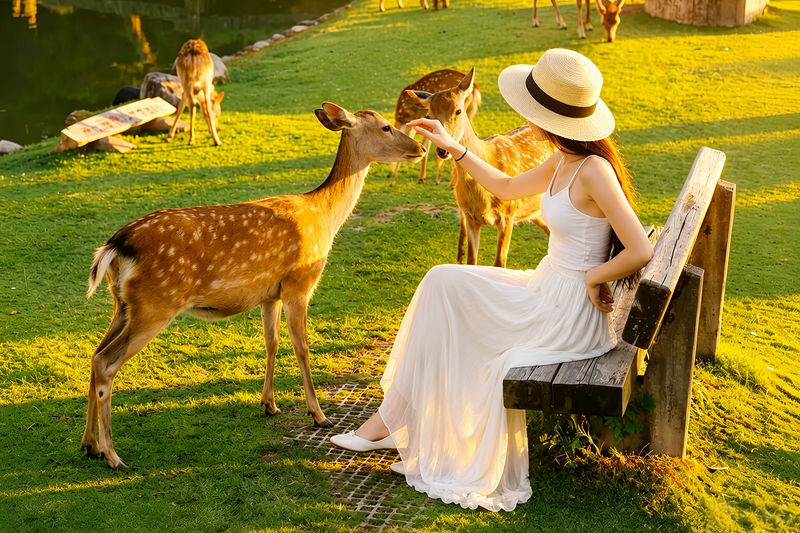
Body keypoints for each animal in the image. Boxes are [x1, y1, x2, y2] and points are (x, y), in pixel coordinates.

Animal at [81, 103, 424, 470]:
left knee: (95, 355)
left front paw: (269, 404)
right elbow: (302, 347)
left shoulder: (269, 295)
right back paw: (113, 455)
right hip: (154, 305)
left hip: (122, 304)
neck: (324, 217)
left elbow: (271, 343)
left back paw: (89, 445)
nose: (420, 148)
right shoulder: (299, 284)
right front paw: (318, 414)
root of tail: (115, 245)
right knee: (106, 363)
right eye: (386, 127)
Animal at [407, 69, 552, 267]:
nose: (443, 150)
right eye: (429, 116)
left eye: (458, 110)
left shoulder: (508, 213)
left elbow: (499, 264)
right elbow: (471, 261)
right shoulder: (471, 218)